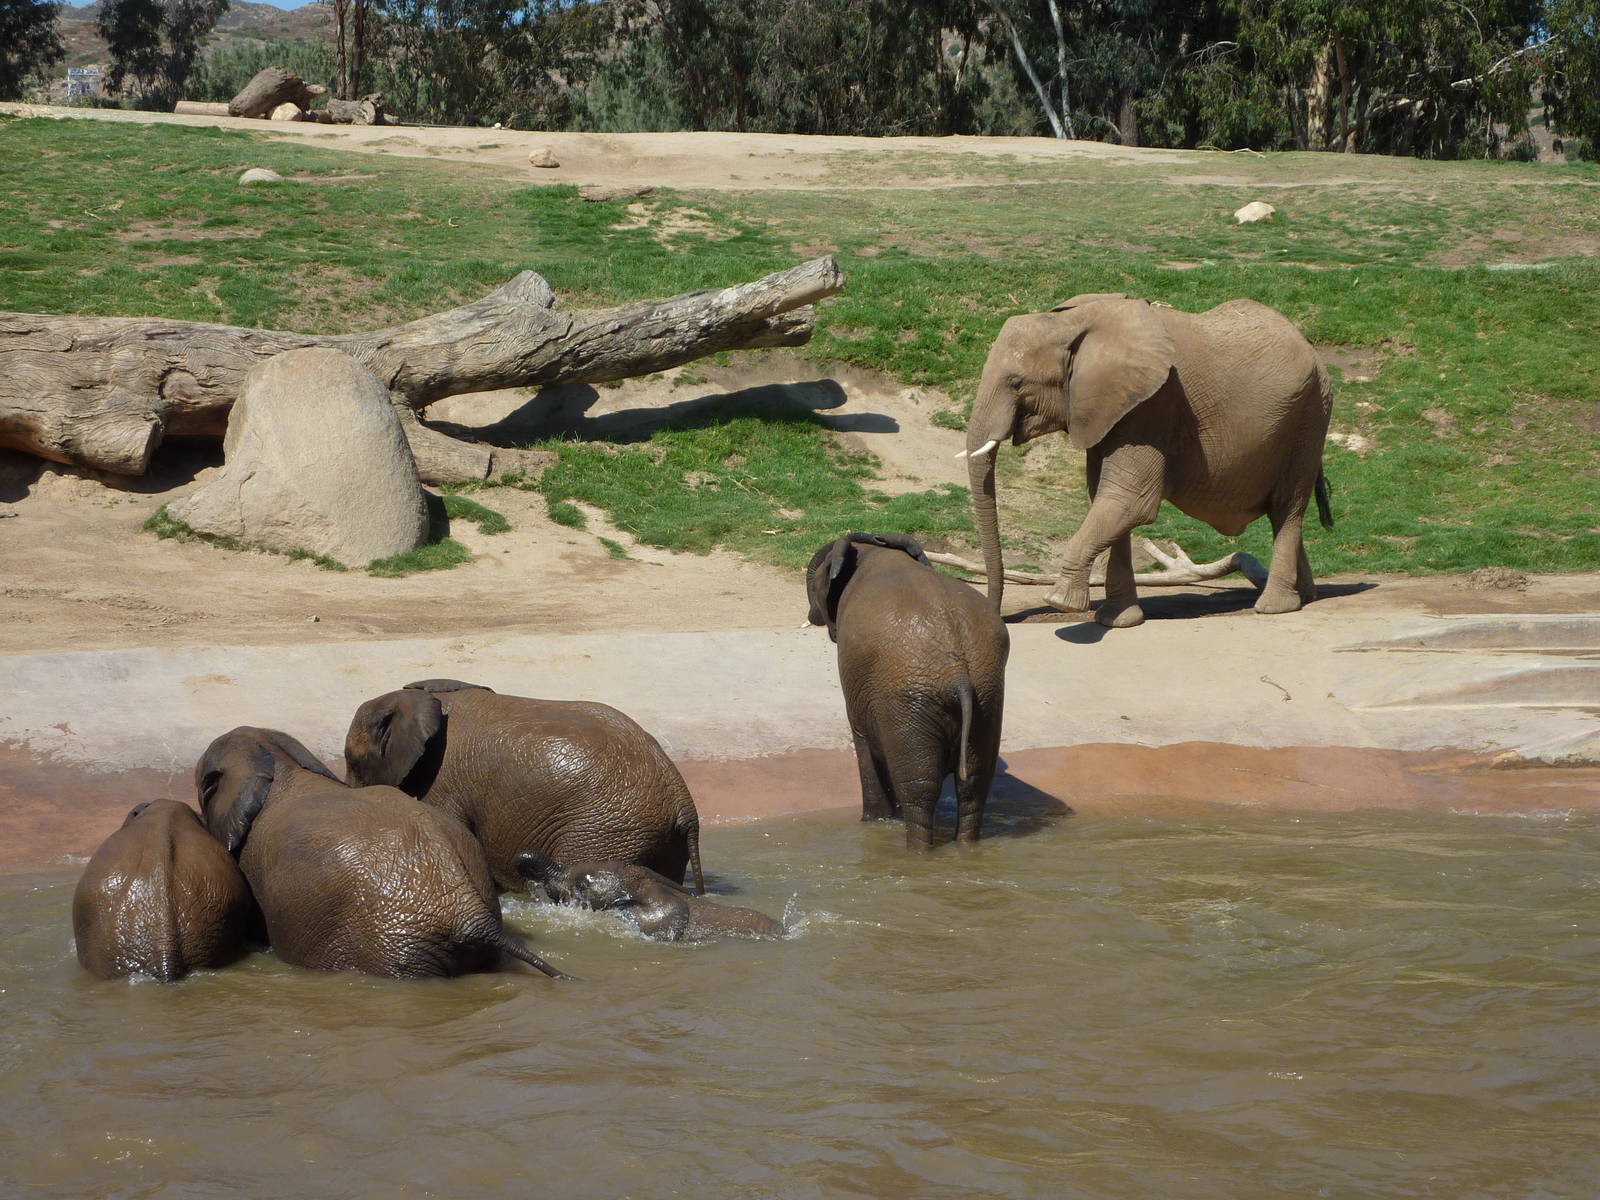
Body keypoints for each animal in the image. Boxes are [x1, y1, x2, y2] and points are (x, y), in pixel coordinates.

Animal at [806, 533, 1009, 850]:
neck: (875, 549)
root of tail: (958, 673)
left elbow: (863, 740)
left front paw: (874, 821)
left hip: (910, 697)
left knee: (920, 788)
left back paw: (917, 850)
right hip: (987, 694)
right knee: (974, 784)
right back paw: (965, 847)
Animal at [963, 293, 1334, 628]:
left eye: (1016, 382)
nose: (999, 616)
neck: (1074, 322)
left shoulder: (1154, 406)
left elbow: (1129, 501)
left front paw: (1061, 602)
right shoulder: (1107, 409)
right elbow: (1106, 500)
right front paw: (1117, 621)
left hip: (1310, 416)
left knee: (1288, 508)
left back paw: (1275, 607)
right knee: (1284, 513)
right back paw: (1306, 596)